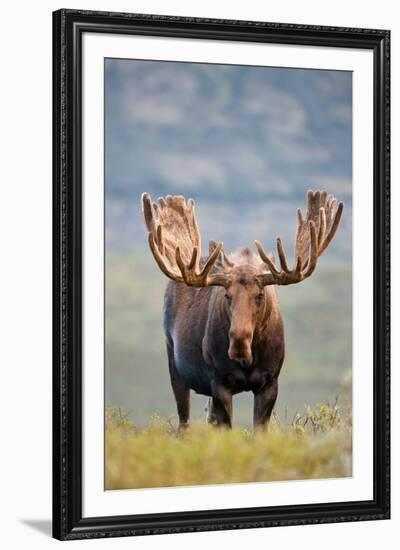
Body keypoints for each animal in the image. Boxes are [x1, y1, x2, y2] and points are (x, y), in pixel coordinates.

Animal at [141, 193, 344, 432]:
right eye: (227, 295)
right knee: (184, 421)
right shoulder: (219, 381)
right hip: (175, 364)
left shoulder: (270, 382)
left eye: (260, 295)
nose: (238, 342)